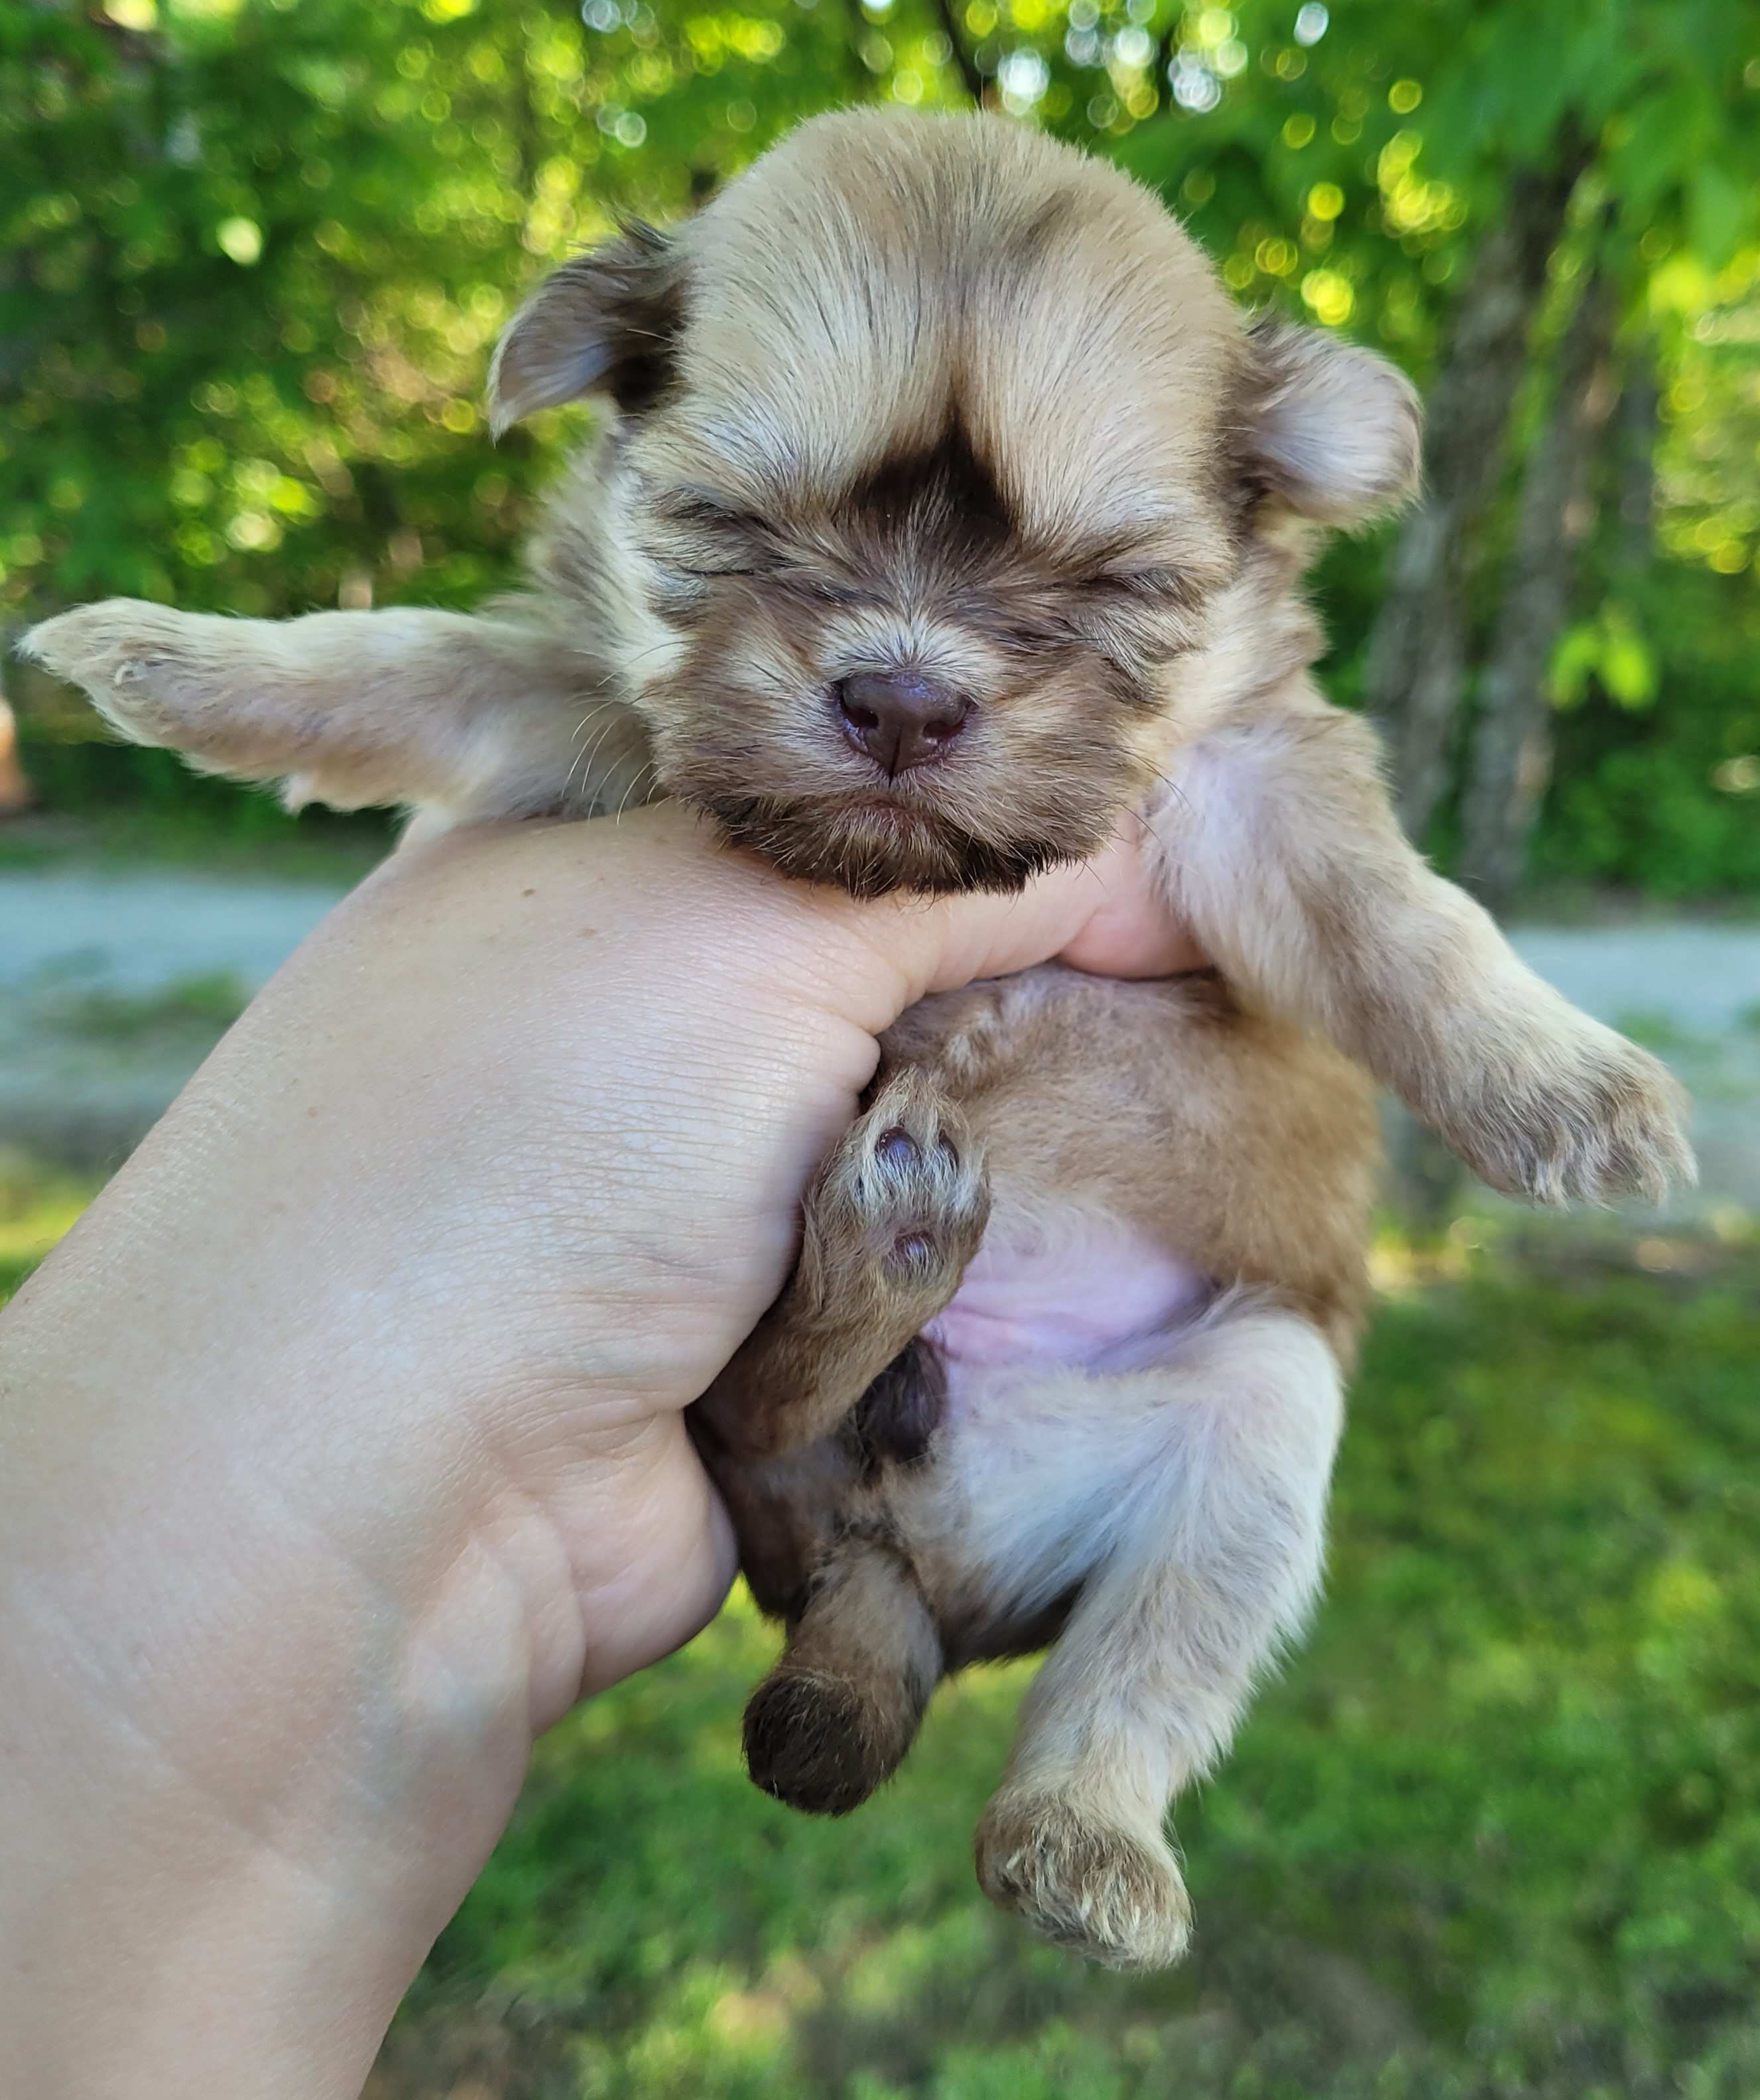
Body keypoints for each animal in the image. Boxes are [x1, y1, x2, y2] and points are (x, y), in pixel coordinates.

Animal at [25, 108, 1693, 1971]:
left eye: (1116, 584)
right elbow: (410, 661)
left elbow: (1406, 918)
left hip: (1253, 1395)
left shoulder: (1251, 789)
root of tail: (891, 1573)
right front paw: (171, 658)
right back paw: (882, 1264)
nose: (902, 696)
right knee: (762, 1398)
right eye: (729, 524)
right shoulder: (582, 715)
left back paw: (1081, 1828)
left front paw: (1568, 1087)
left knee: (1132, 1657)